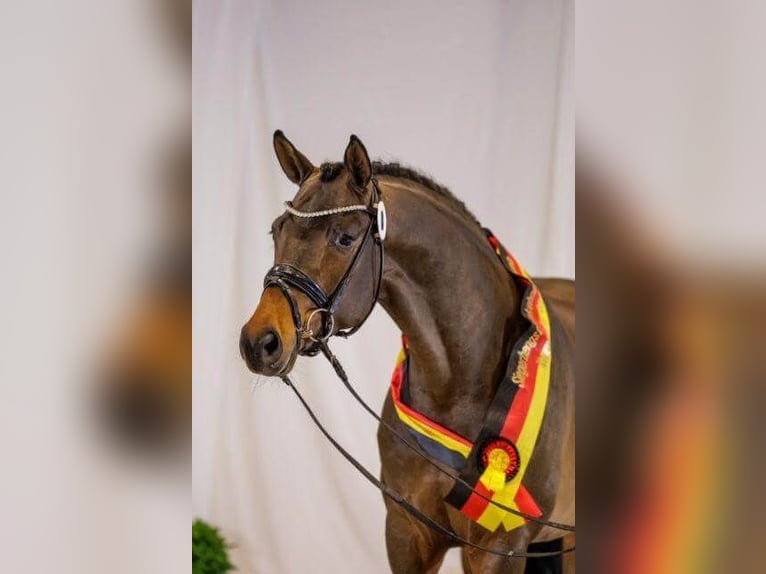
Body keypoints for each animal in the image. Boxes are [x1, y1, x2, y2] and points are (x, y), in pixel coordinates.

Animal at [240, 133, 576, 572]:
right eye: (276, 230)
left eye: (344, 238)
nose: (259, 342)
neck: (460, 384)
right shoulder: (406, 532)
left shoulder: (501, 546)